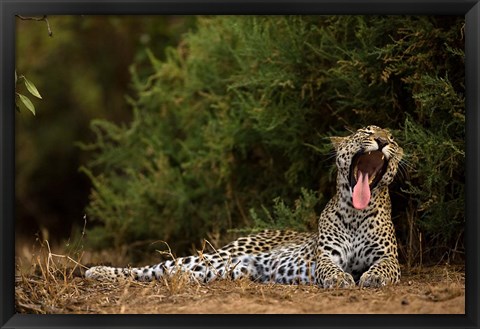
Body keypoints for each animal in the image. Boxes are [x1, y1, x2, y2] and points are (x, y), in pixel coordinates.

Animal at [85, 125, 402, 288]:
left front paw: (372, 277)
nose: (382, 140)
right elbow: (330, 269)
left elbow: (385, 268)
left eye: (393, 138)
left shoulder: (389, 257)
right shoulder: (326, 255)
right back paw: (96, 271)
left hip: (225, 270)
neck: (355, 213)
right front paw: (341, 280)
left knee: (169, 274)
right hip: (217, 256)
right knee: (153, 267)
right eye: (366, 132)